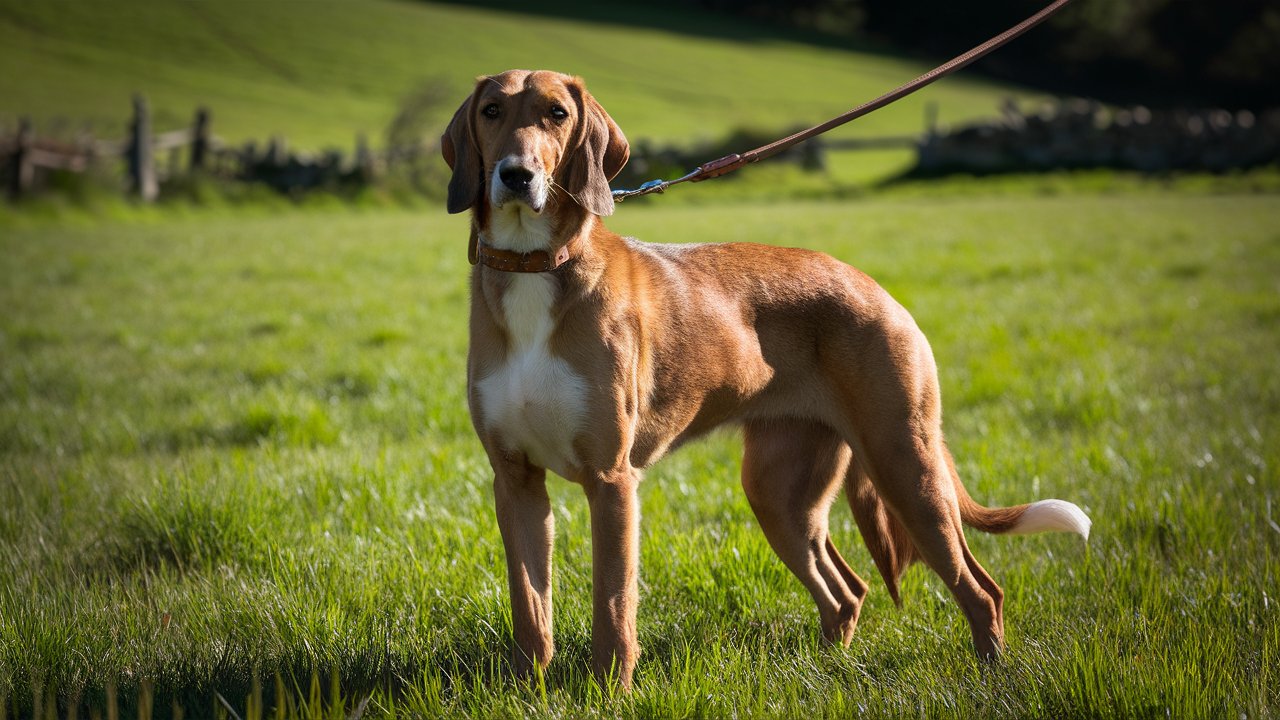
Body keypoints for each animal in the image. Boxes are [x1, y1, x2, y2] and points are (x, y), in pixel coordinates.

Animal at [442, 68, 1090, 691]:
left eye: (557, 113)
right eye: (491, 111)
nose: (517, 175)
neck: (535, 267)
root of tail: (877, 290)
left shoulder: (612, 481)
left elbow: (614, 607)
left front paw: (610, 694)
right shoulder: (517, 481)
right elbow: (531, 606)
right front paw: (528, 690)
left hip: (906, 467)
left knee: (982, 590)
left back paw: (992, 674)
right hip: (779, 491)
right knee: (847, 592)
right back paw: (829, 670)